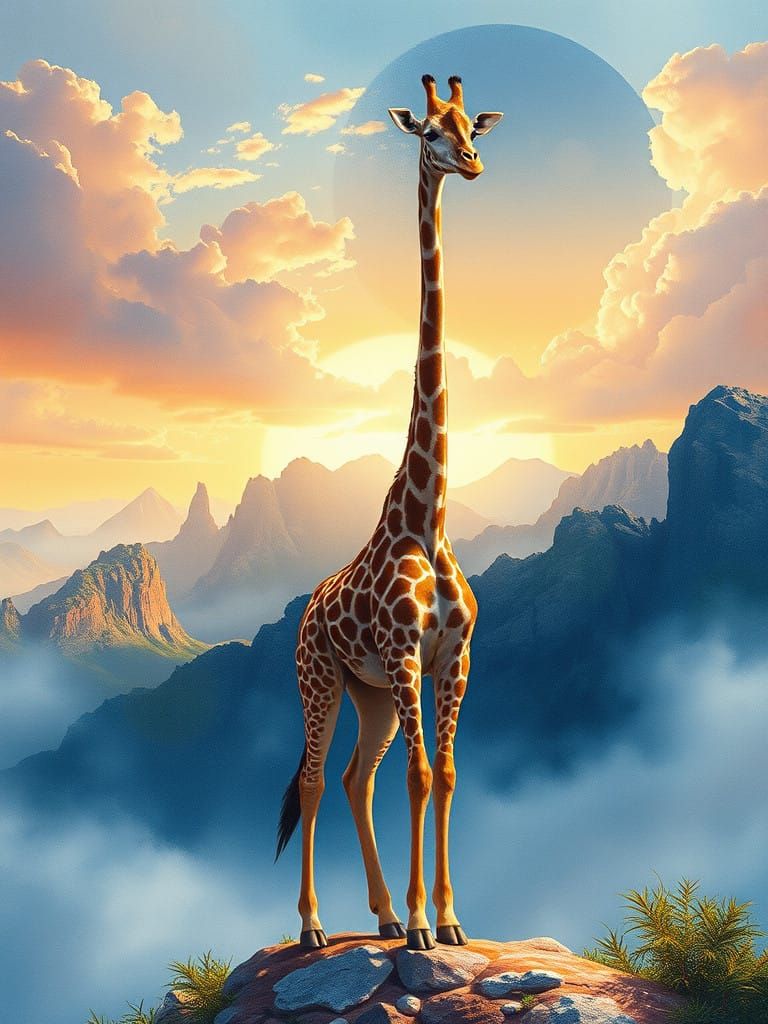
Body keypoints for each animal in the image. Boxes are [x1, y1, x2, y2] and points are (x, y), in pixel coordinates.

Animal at [276, 74, 503, 952]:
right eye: (428, 133)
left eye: (471, 125)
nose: (471, 163)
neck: (425, 519)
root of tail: (307, 608)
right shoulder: (408, 657)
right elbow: (418, 774)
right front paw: (422, 927)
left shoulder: (454, 660)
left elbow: (445, 774)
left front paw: (448, 918)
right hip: (318, 677)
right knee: (313, 780)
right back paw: (314, 927)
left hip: (365, 691)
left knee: (352, 777)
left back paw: (375, 915)